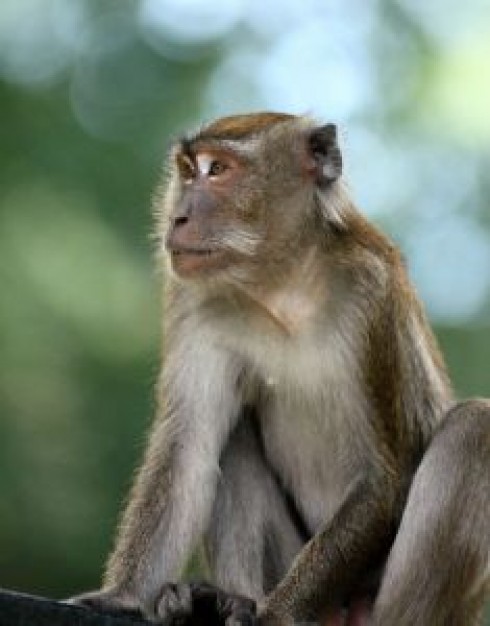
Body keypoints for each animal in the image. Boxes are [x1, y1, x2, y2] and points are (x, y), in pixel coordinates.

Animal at [72, 113, 490, 624]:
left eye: (218, 170)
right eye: (188, 172)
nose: (178, 218)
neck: (283, 282)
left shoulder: (372, 290)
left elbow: (382, 481)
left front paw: (276, 615)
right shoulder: (196, 301)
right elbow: (187, 448)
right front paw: (122, 596)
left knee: (473, 430)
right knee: (233, 438)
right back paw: (233, 598)